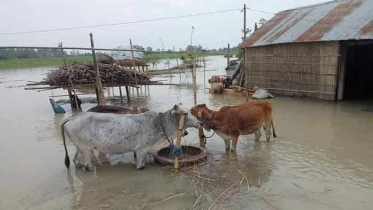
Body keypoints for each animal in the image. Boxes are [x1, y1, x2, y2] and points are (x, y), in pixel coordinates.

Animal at [61, 104, 201, 171]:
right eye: (185, 114)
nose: (200, 123)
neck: (159, 123)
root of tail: (71, 118)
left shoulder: (148, 150)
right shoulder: (140, 149)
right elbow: (141, 166)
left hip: (80, 149)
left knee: (76, 160)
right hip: (86, 149)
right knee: (85, 163)